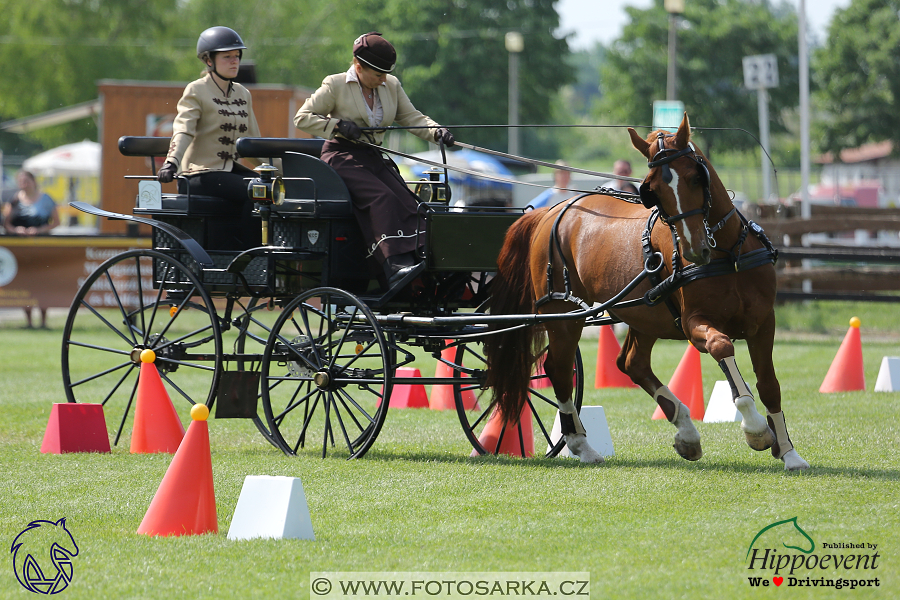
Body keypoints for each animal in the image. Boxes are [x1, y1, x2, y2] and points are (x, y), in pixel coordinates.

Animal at [488, 115, 812, 472]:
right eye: (653, 191)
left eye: (695, 178)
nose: (695, 250)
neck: (729, 254)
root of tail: (549, 212)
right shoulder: (694, 324)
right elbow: (722, 346)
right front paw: (756, 429)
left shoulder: (763, 322)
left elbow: (769, 385)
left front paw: (788, 452)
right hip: (564, 315)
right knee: (559, 370)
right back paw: (581, 445)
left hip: (644, 315)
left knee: (632, 363)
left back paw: (686, 432)